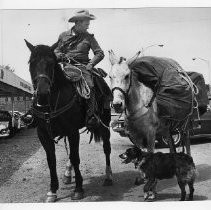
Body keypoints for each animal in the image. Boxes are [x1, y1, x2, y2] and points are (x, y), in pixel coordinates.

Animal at [24, 39, 113, 202]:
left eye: (52, 62)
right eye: (31, 62)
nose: (42, 93)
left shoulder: (72, 131)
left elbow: (75, 157)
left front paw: (78, 188)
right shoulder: (43, 135)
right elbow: (51, 160)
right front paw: (52, 190)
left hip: (105, 124)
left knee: (106, 148)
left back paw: (108, 176)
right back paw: (67, 174)